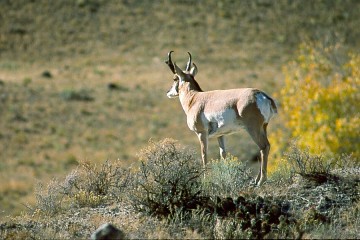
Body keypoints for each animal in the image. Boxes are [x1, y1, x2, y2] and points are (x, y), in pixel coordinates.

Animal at [165, 51, 278, 186]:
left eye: (175, 78)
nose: (168, 92)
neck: (194, 98)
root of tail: (262, 95)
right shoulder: (221, 135)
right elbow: (223, 154)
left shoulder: (201, 134)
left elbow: (204, 154)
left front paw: (205, 180)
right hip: (263, 127)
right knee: (265, 147)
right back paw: (256, 180)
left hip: (253, 129)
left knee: (264, 147)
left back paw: (261, 181)